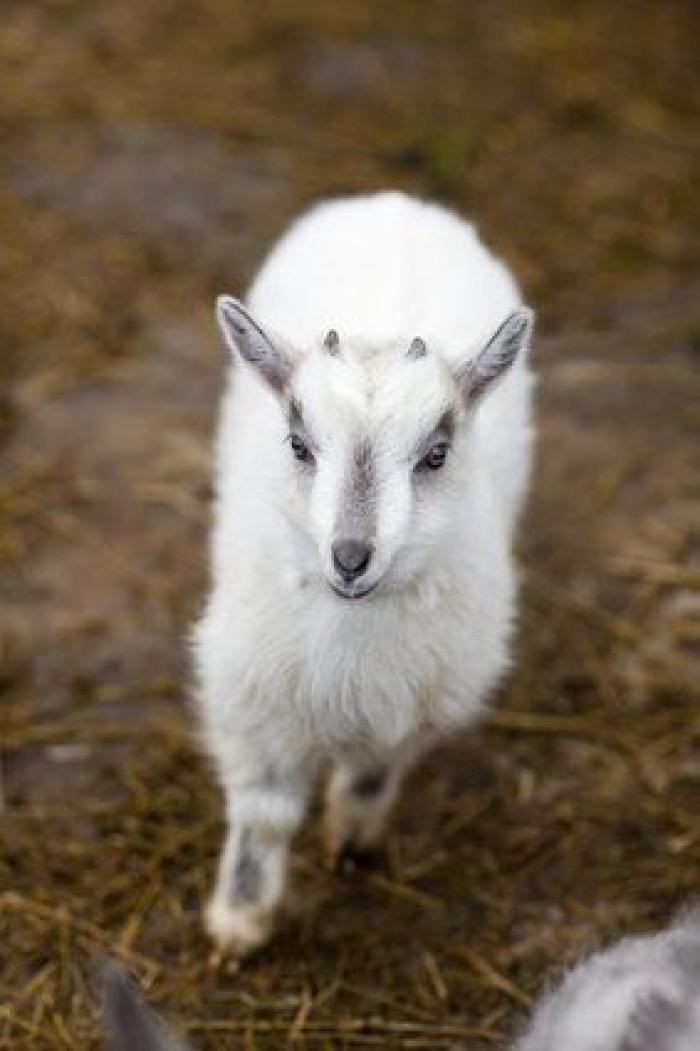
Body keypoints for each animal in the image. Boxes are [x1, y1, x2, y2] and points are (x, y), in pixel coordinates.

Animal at [193, 190, 534, 958]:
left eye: (437, 453)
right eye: (297, 445)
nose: (350, 557)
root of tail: (393, 201)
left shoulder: (419, 698)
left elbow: (374, 773)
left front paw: (349, 842)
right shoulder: (255, 703)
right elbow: (263, 817)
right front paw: (239, 926)